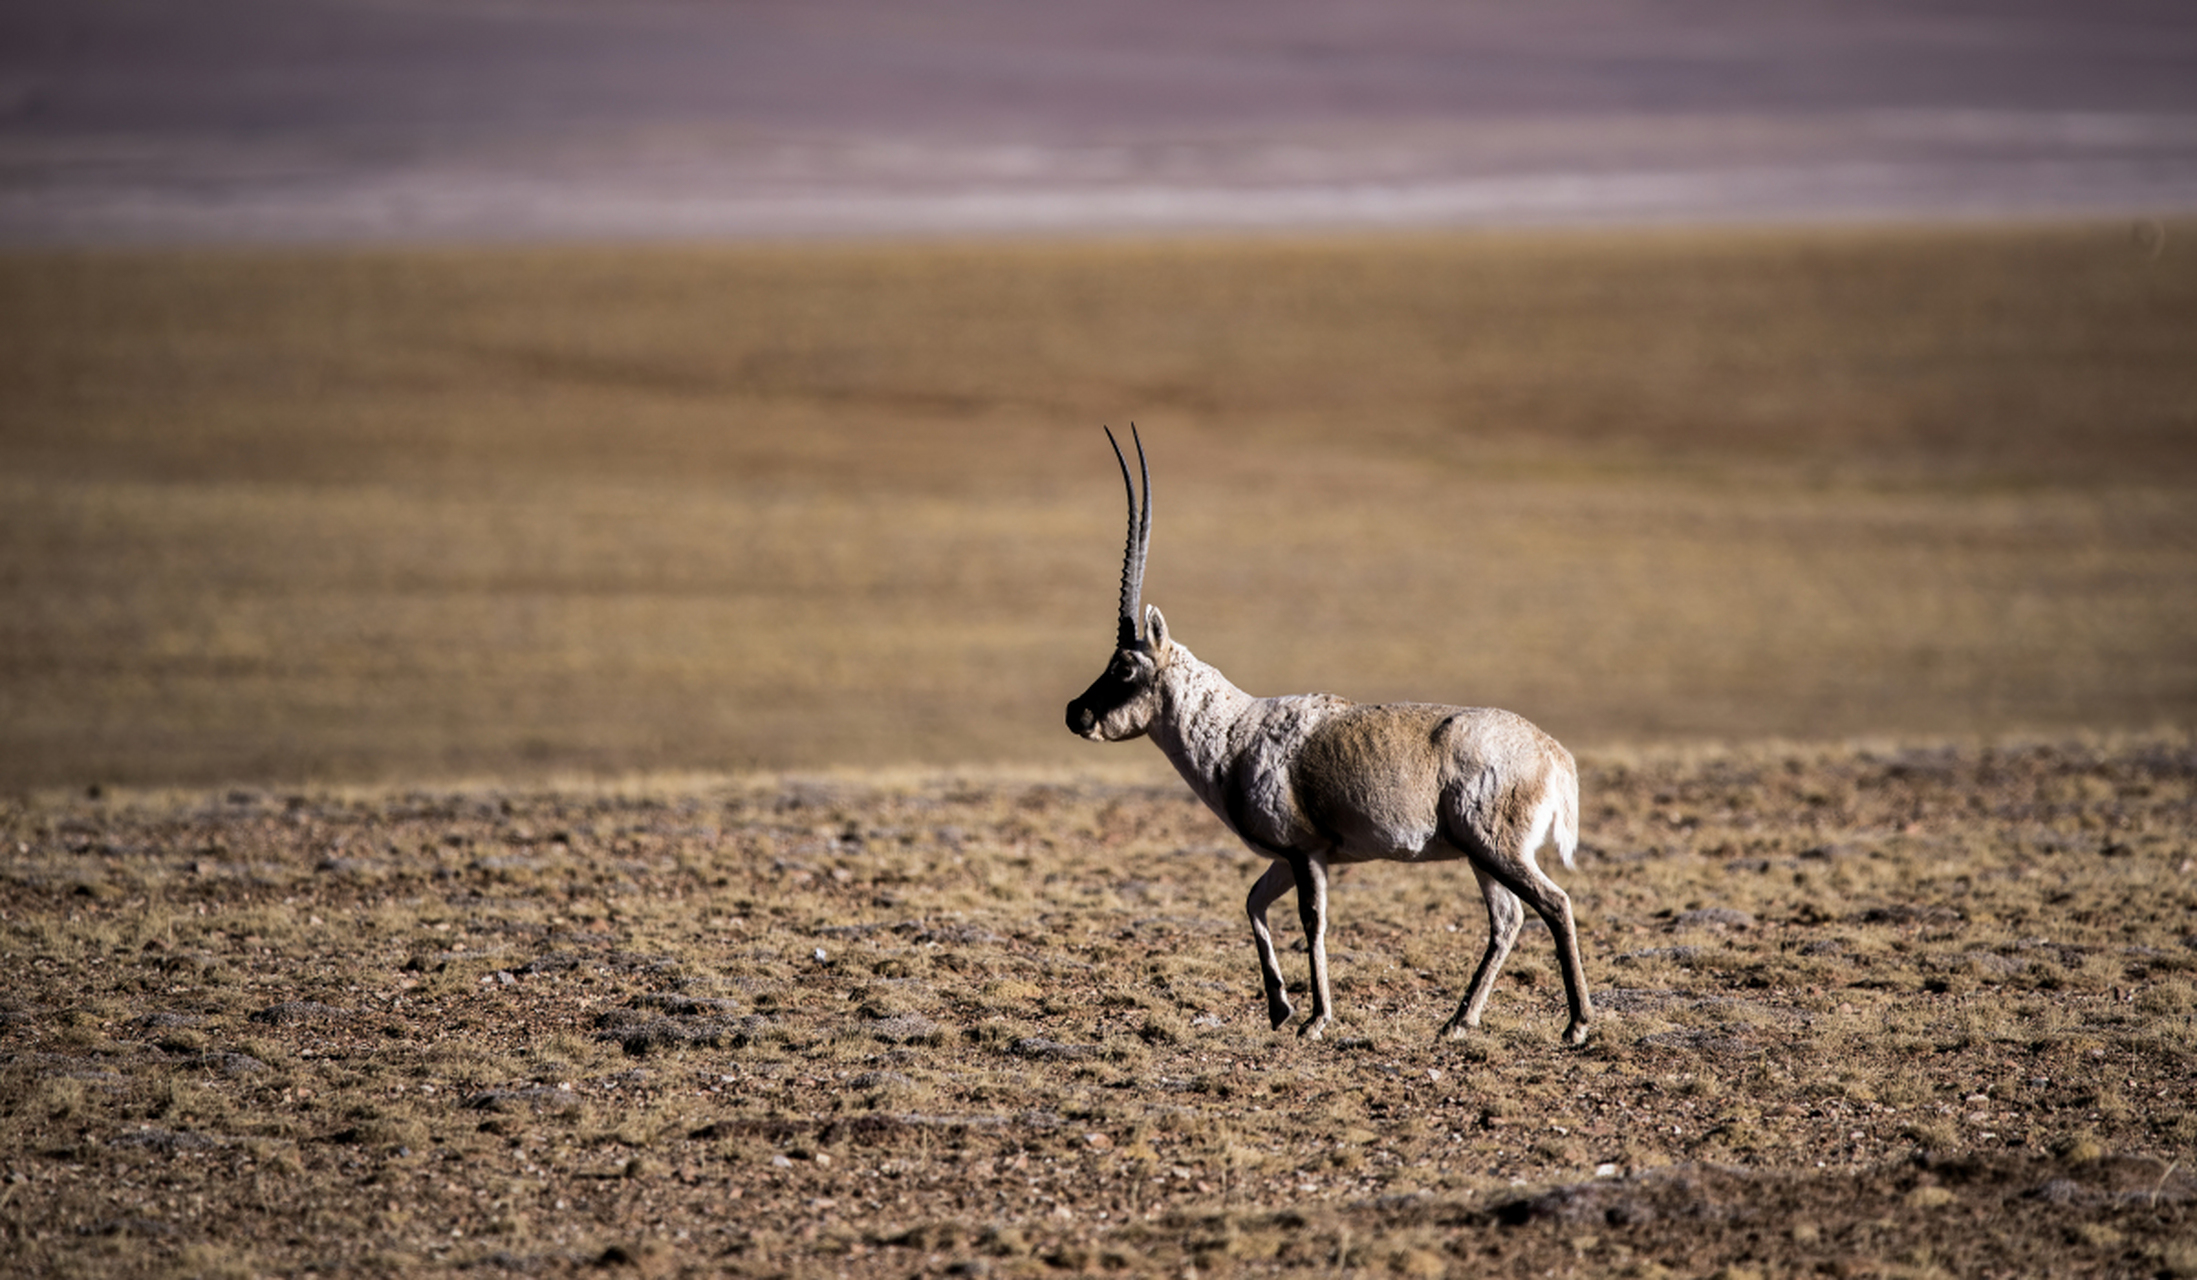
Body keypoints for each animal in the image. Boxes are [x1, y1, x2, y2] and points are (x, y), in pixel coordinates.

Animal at [1067, 425, 1599, 1045]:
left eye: (1125, 667)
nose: (1076, 713)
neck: (1236, 732)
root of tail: (1552, 753)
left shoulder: (1306, 853)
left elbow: (1312, 922)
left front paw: (1315, 1019)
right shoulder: (1288, 856)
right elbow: (1252, 903)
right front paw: (1280, 1008)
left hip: (1494, 847)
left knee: (1554, 903)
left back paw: (1575, 1025)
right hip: (1480, 856)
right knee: (1507, 919)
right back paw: (1458, 1021)